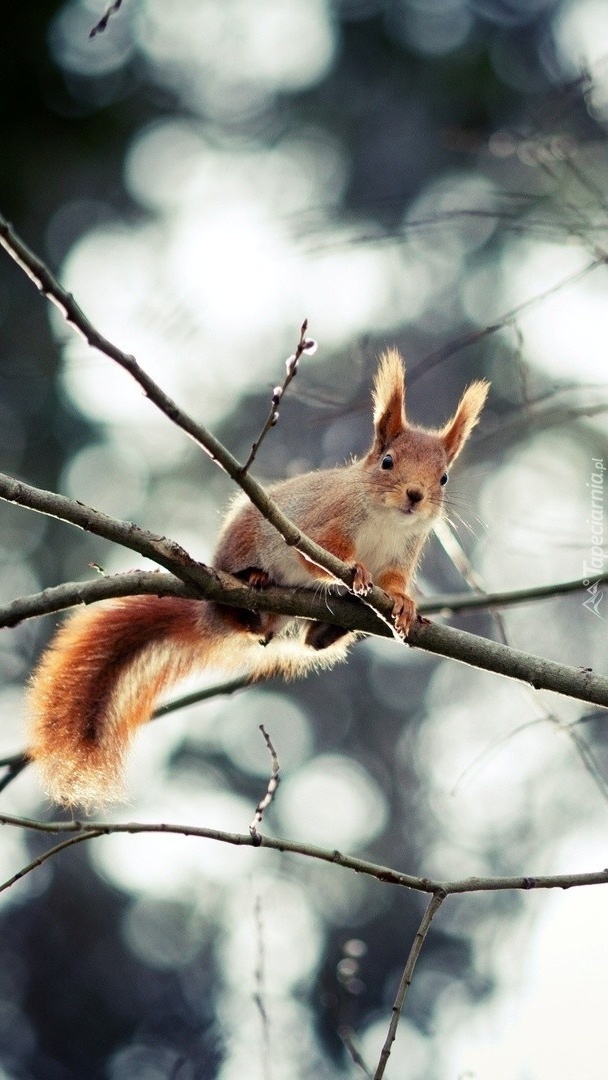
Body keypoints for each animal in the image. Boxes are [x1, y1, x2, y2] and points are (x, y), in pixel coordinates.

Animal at [26, 349, 490, 807]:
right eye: (387, 462)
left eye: (444, 477)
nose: (415, 495)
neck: (387, 520)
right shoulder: (320, 527)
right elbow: (320, 558)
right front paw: (354, 571)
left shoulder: (401, 556)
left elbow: (393, 583)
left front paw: (405, 606)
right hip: (240, 549)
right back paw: (253, 582)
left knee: (304, 641)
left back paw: (324, 630)